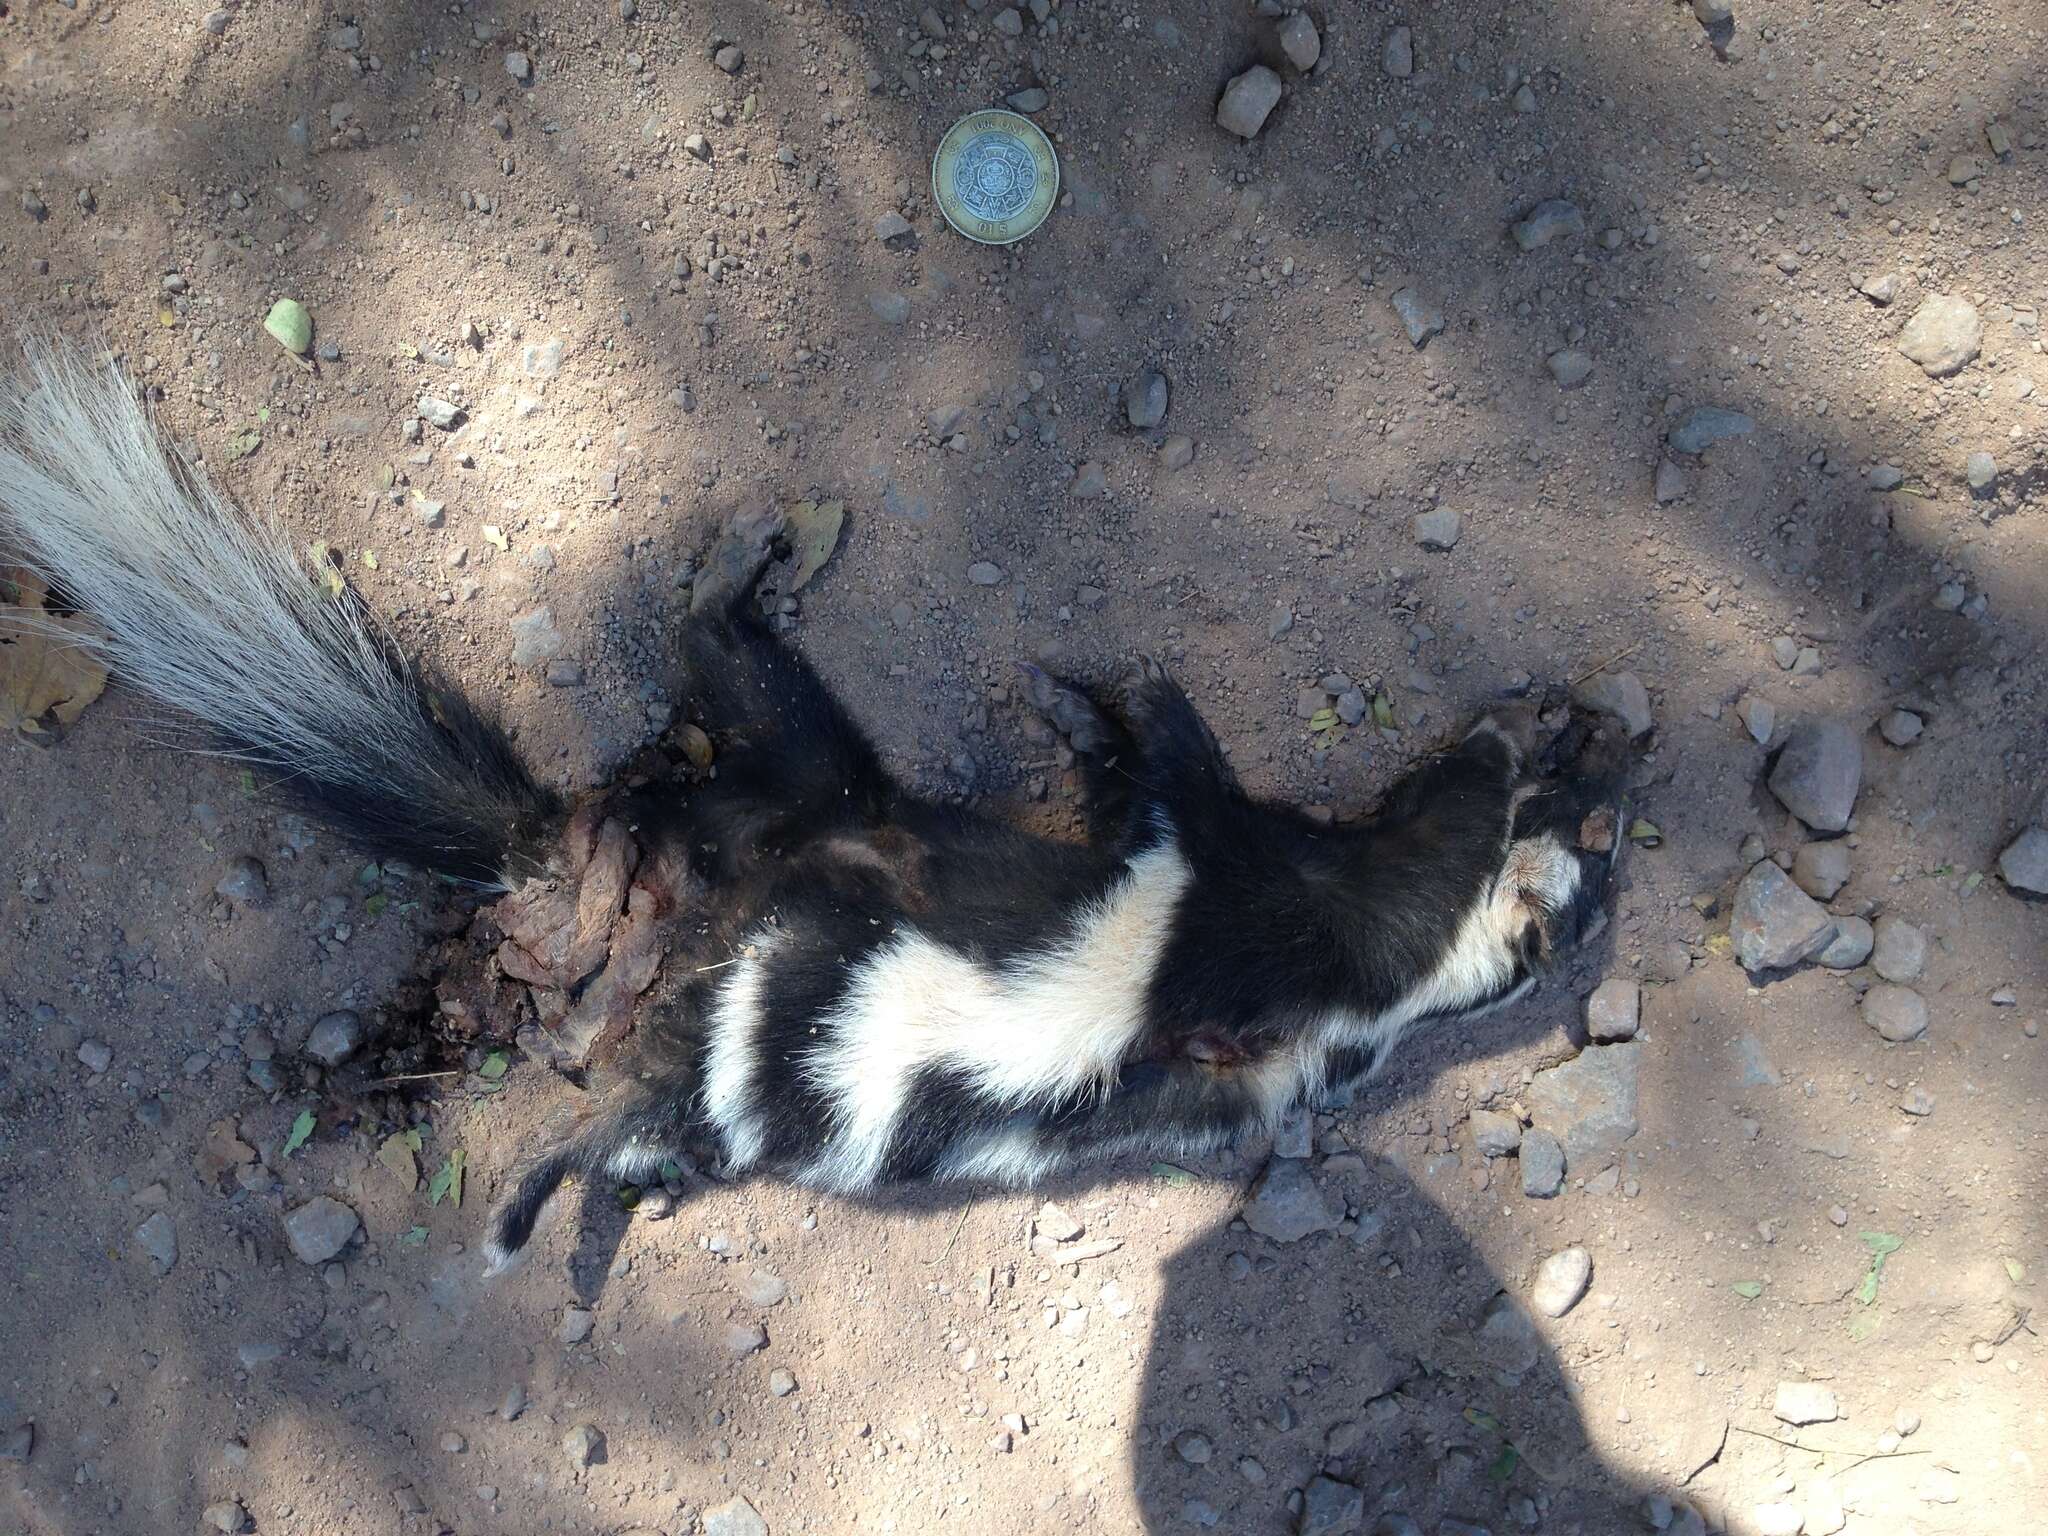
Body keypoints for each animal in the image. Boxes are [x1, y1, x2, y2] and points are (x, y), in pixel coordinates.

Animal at [0, 339, 1630, 1277]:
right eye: (1581, 780)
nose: (1605, 730)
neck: (1386, 974)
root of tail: (603, 890)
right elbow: (1164, 783)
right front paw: (1096, 704)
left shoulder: (1237, 884)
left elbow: (1181, 783)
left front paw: (1117, 695)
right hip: (760, 892)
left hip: (794, 817)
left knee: (737, 691)